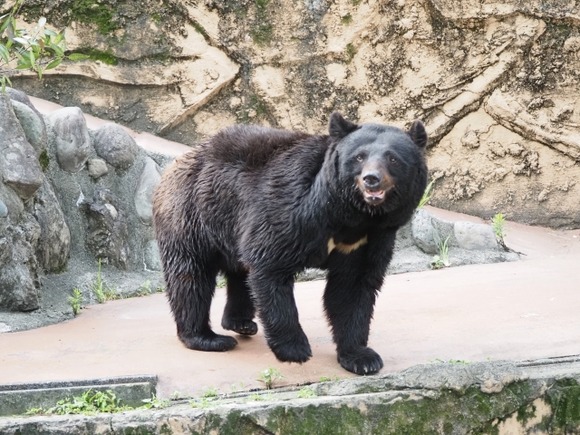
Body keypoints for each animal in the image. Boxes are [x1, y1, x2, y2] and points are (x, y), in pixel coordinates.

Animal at [152, 114, 428, 376]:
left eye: (393, 159)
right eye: (359, 157)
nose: (372, 179)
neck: (352, 218)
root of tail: (177, 162)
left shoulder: (371, 239)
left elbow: (353, 287)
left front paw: (362, 358)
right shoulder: (291, 211)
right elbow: (270, 266)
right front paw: (295, 350)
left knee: (240, 271)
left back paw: (241, 322)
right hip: (192, 213)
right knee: (191, 276)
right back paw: (207, 337)